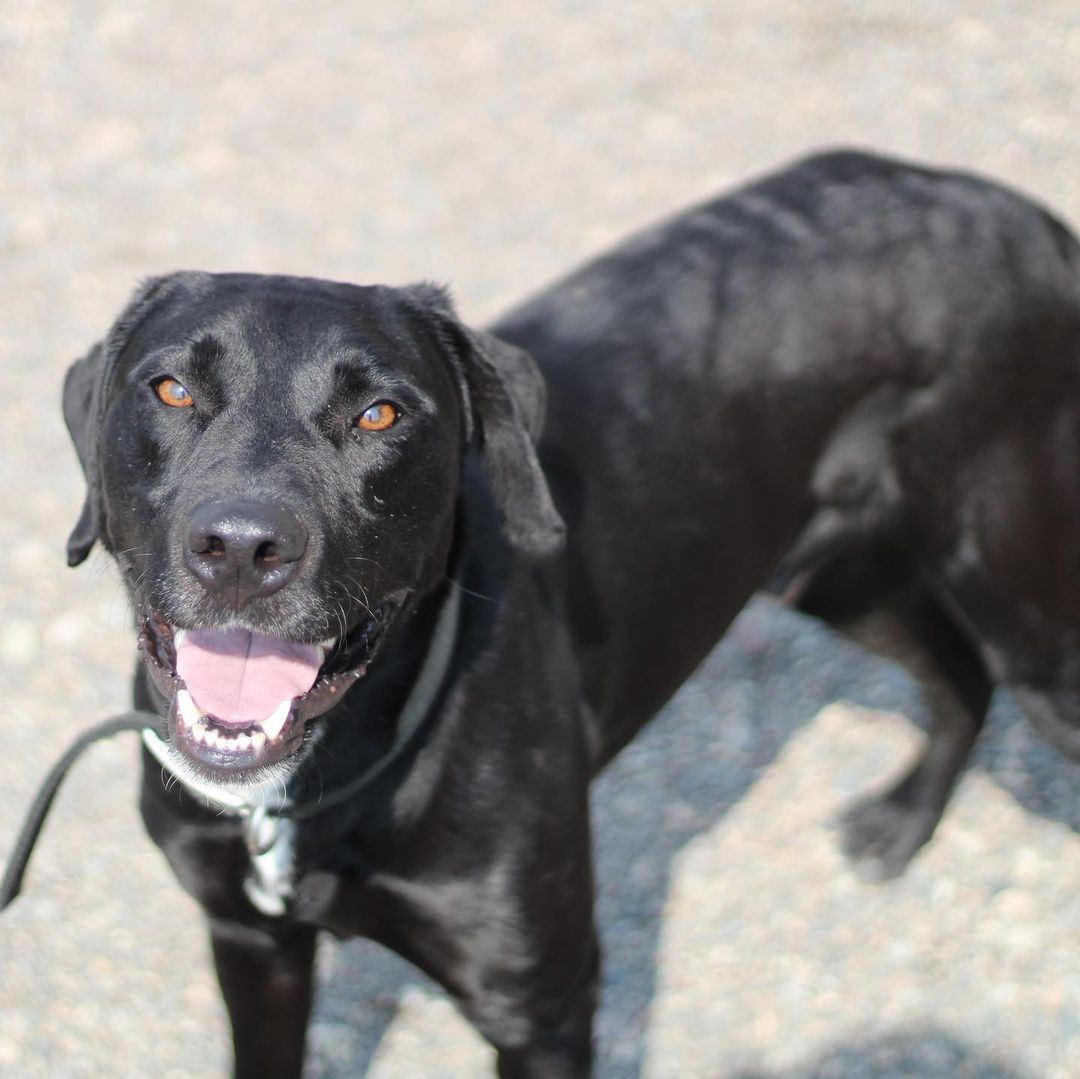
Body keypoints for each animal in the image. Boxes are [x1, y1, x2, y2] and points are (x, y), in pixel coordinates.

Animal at [63, 150, 1080, 1071]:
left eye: (380, 414)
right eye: (171, 389)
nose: (241, 547)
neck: (319, 786)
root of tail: (1027, 216)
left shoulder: (543, 1000)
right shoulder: (251, 940)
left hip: (1022, 601)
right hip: (836, 574)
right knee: (958, 670)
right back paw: (901, 823)